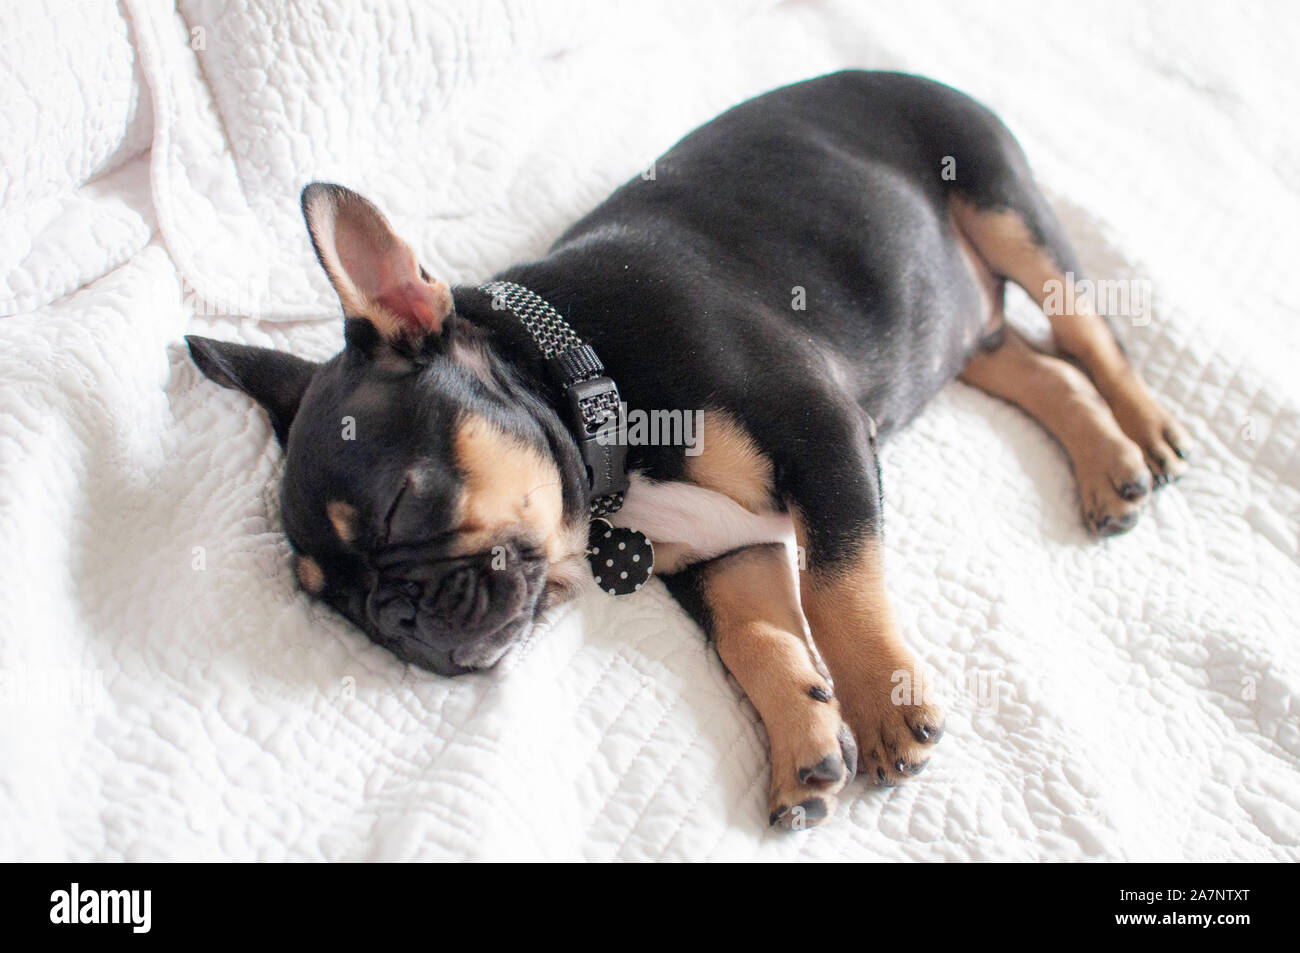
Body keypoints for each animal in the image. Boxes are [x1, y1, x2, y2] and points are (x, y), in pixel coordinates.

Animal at [185, 70, 1190, 826]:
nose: (393, 618)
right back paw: (1107, 468)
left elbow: (837, 588)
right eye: (334, 606)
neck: (585, 384)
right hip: (954, 327)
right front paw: (804, 742)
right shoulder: (724, 550)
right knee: (1037, 366)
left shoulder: (823, 436)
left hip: (1004, 207)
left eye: (402, 504)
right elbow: (754, 635)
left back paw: (1146, 430)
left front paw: (879, 703)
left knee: (1090, 332)